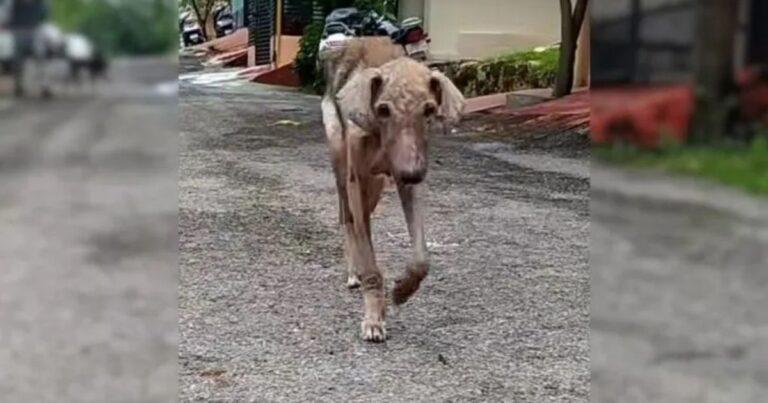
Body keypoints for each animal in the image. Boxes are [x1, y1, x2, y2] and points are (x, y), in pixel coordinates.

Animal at [318, 38, 462, 342]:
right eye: (383, 110)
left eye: (429, 110)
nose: (413, 173)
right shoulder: (357, 178)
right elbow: (370, 265)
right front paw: (374, 317)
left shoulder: (407, 181)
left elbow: (421, 258)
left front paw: (402, 291)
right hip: (342, 166)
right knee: (348, 219)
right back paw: (354, 271)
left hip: (374, 187)